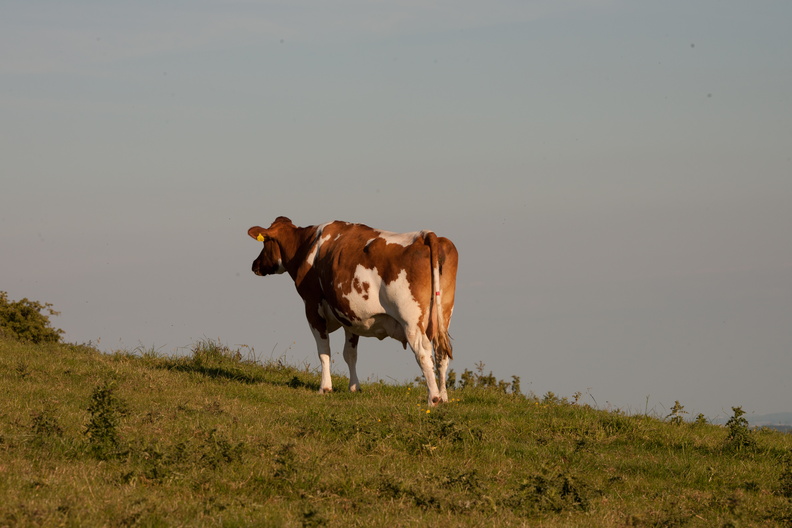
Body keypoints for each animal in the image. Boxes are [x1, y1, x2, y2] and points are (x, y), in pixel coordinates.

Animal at [247, 216, 458, 405]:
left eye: (265, 243)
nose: (254, 265)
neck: (306, 246)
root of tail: (425, 235)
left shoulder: (312, 307)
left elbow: (324, 350)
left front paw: (325, 388)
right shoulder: (351, 316)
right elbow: (350, 353)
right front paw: (354, 387)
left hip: (411, 320)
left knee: (423, 352)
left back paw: (433, 398)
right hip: (443, 315)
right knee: (441, 354)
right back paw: (444, 397)